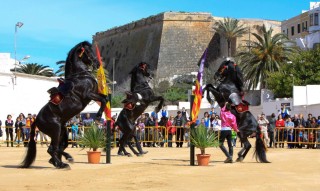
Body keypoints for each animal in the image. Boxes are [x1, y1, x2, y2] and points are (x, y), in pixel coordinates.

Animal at [20, 41, 107, 169]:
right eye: (88, 51)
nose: (97, 64)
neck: (80, 76)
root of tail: (36, 120)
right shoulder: (88, 95)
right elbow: (104, 100)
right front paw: (98, 117)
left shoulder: (94, 94)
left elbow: (105, 98)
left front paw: (99, 116)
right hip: (56, 130)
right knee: (53, 148)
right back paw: (64, 161)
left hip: (62, 131)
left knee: (56, 148)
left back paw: (59, 162)